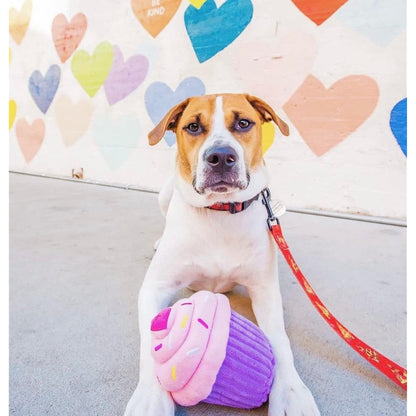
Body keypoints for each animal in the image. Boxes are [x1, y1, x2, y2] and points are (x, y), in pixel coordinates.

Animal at [125, 94, 320, 416]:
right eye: (193, 126)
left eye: (243, 123)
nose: (220, 157)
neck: (220, 211)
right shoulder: (154, 288)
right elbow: (149, 344)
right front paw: (151, 397)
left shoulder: (266, 291)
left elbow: (280, 340)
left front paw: (293, 393)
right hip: (165, 193)